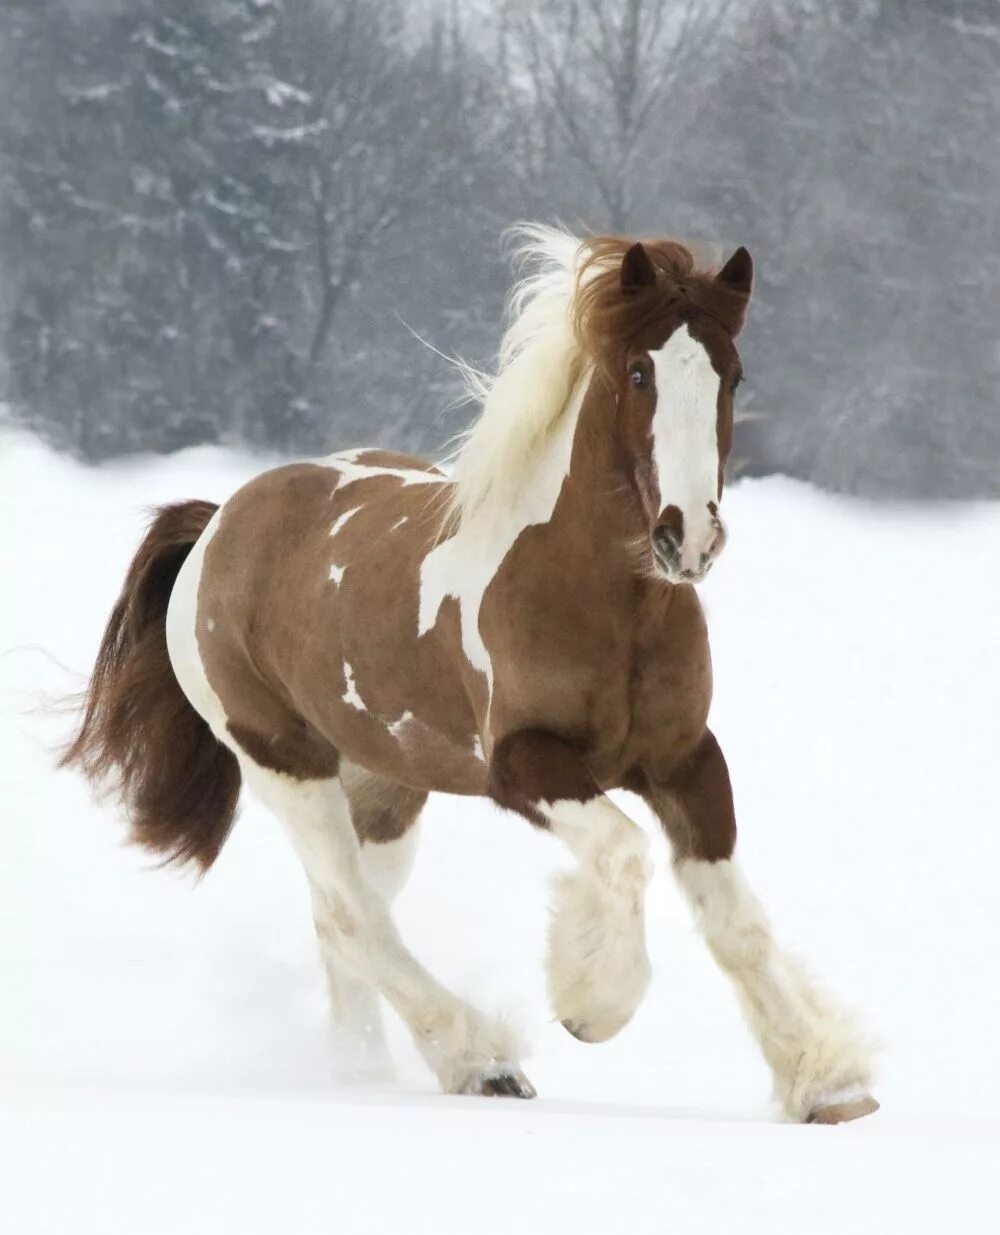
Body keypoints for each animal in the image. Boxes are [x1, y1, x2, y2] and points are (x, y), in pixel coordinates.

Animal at [60, 222, 874, 1121]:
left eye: (732, 373)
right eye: (639, 371)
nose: (687, 537)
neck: (603, 600)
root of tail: (219, 522)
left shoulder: (686, 759)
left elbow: (734, 918)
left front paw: (827, 1079)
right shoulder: (523, 762)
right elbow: (624, 852)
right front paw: (591, 1003)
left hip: (385, 785)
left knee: (342, 918)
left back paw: (364, 1073)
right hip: (282, 760)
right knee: (356, 917)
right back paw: (480, 1060)